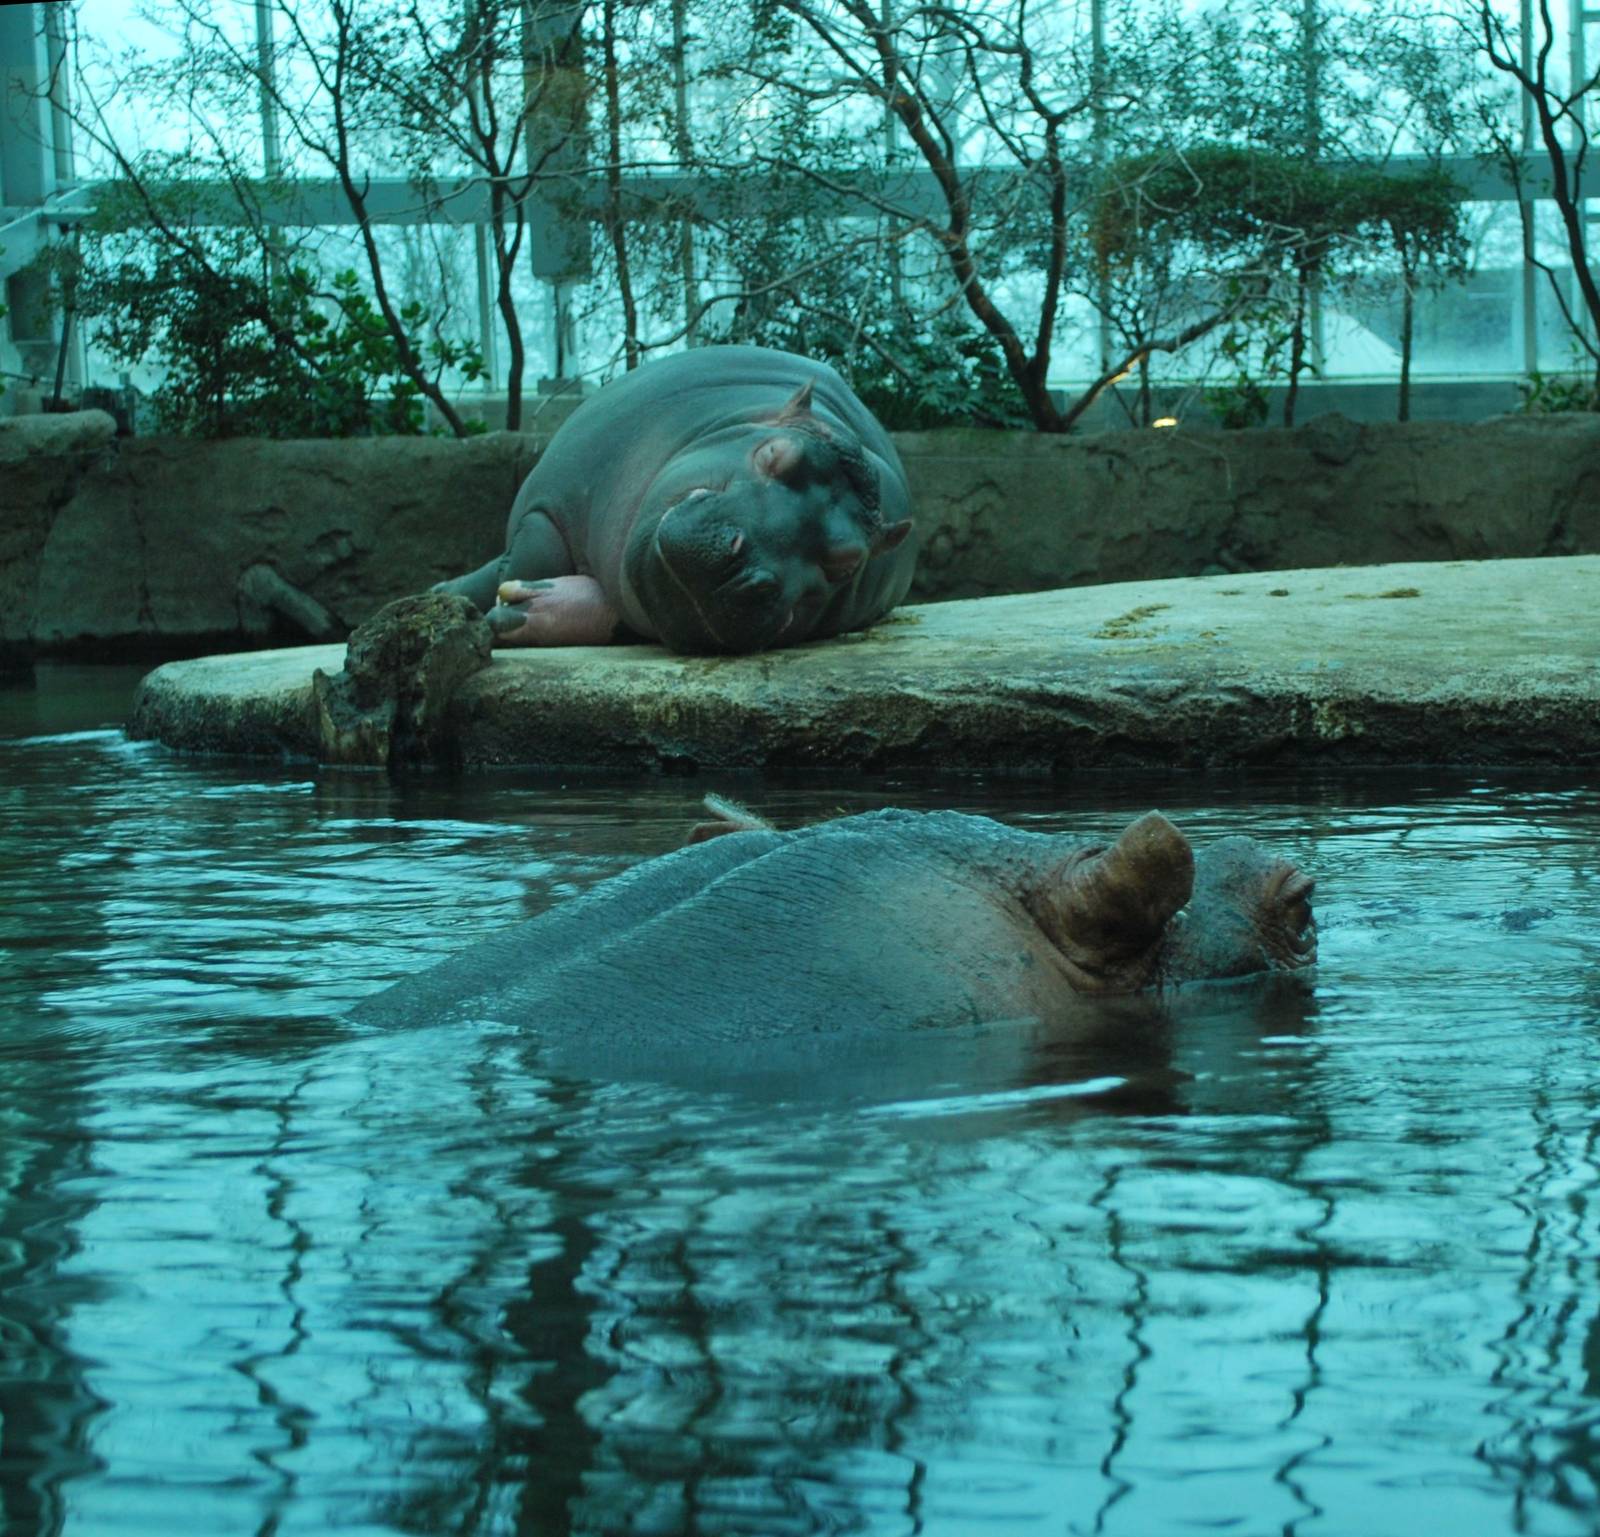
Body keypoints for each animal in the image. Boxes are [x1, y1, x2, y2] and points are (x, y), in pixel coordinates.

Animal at [435, 345, 916, 653]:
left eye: (847, 564)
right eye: (775, 454)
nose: (743, 573)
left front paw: (518, 609)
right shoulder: (546, 509)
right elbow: (527, 557)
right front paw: (449, 599)